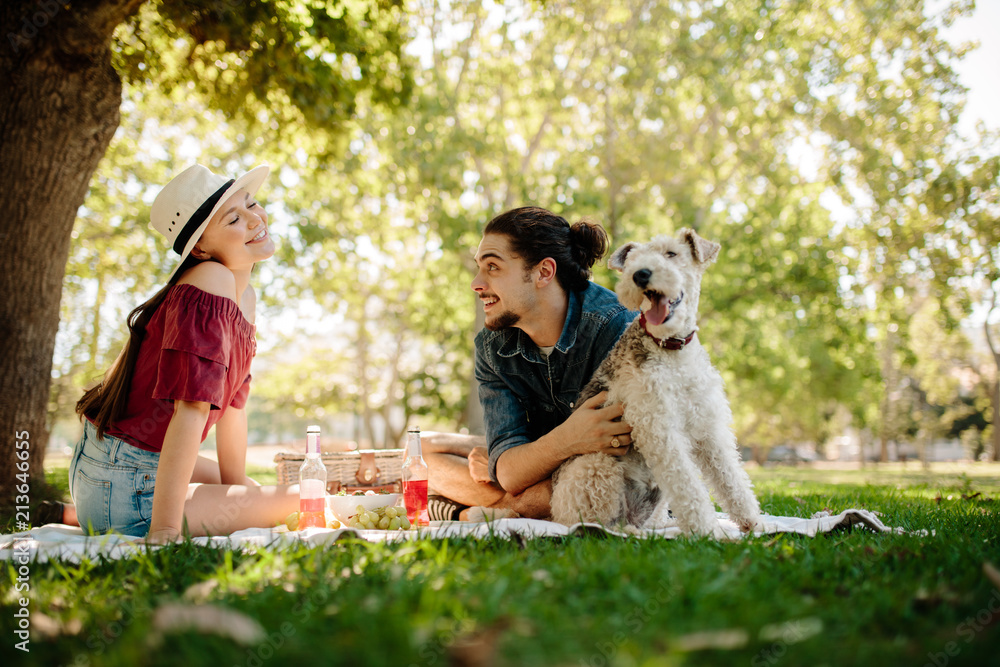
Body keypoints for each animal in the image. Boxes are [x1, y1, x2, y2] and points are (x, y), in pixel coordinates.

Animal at [552, 230, 760, 536]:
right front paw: (709, 531)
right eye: (632, 261)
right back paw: (629, 531)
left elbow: (731, 478)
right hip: (596, 465)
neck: (672, 349)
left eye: (671, 253)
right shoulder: (658, 428)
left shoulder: (707, 426)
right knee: (596, 524)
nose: (640, 274)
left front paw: (753, 522)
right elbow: (689, 487)